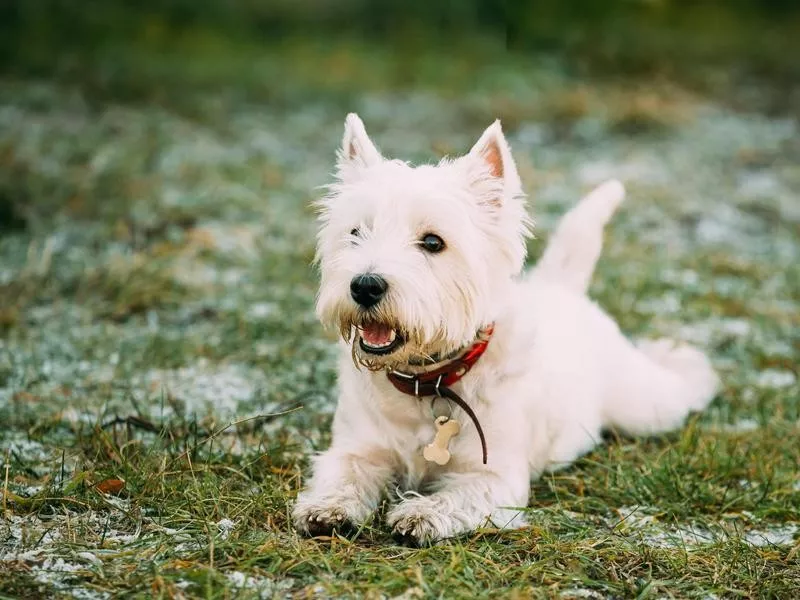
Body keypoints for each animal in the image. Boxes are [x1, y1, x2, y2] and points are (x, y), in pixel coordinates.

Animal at [292, 112, 720, 544]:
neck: (427, 383)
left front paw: (420, 514)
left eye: (433, 242)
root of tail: (561, 288)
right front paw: (326, 508)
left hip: (644, 406)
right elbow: (345, 472)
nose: (364, 286)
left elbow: (457, 495)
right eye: (355, 233)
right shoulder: (357, 446)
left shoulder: (495, 476)